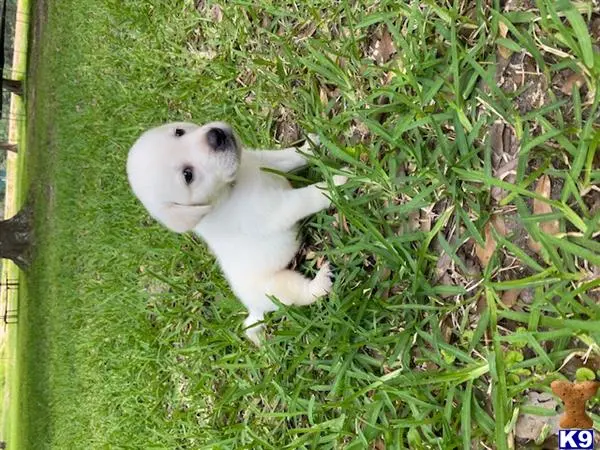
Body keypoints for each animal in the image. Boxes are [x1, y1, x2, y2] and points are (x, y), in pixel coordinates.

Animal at [127, 121, 346, 342]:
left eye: (179, 132)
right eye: (188, 175)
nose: (215, 136)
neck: (231, 187)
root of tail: (253, 309)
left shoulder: (265, 160)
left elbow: (290, 156)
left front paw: (310, 146)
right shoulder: (277, 209)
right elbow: (306, 197)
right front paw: (338, 183)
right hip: (278, 287)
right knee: (303, 294)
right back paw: (321, 282)